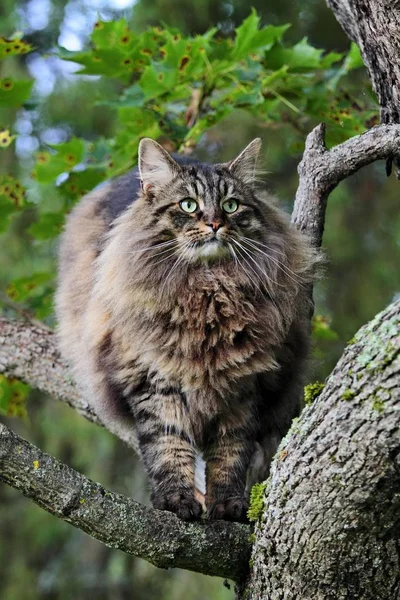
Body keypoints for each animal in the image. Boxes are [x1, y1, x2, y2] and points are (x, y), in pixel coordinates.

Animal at [56, 138, 318, 524]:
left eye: (231, 205)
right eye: (189, 205)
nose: (214, 223)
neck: (208, 293)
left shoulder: (244, 388)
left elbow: (229, 454)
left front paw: (228, 505)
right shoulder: (153, 382)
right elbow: (169, 446)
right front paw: (177, 501)